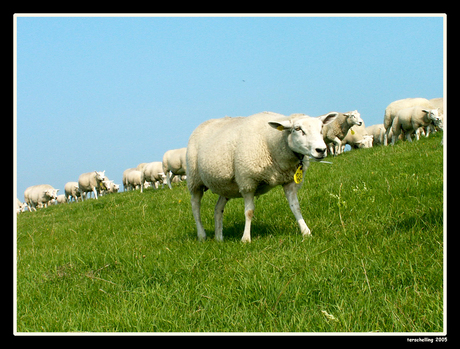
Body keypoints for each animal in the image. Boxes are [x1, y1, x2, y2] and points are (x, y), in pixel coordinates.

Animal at [184, 110, 338, 241]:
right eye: (298, 129)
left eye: (321, 127)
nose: (321, 150)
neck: (272, 142)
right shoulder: (247, 182)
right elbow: (249, 212)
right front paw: (246, 239)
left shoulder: (289, 181)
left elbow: (296, 207)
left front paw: (306, 232)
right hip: (194, 179)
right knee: (195, 206)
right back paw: (202, 235)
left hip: (226, 186)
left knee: (218, 208)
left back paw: (219, 238)